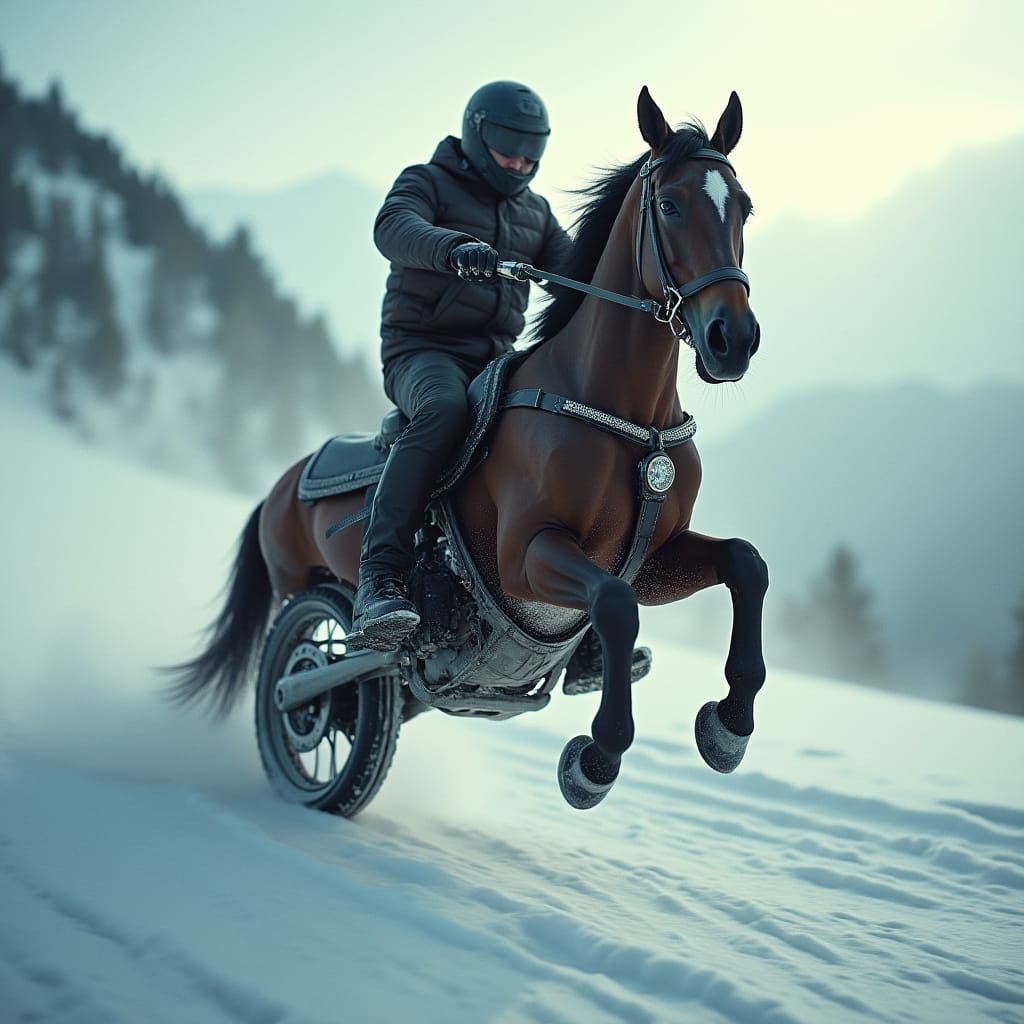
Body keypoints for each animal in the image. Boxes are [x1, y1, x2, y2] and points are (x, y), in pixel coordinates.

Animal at [168, 87, 768, 815]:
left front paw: (728, 729)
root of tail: (280, 489)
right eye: (671, 205)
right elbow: (614, 608)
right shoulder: (524, 558)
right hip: (312, 607)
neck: (624, 420)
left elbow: (746, 565)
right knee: (309, 681)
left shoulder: (655, 559)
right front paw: (594, 761)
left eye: (744, 206)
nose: (732, 339)